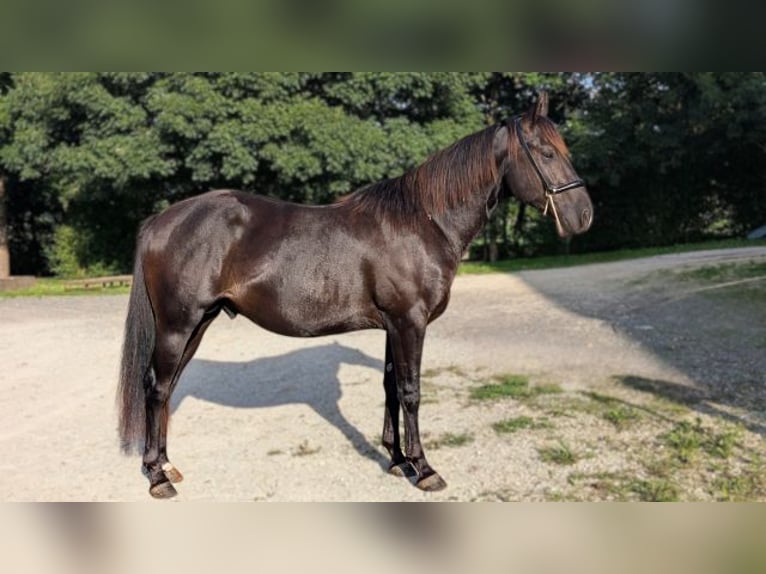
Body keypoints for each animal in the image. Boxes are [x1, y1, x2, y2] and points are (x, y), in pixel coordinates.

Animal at [117, 92, 593, 498]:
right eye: (546, 153)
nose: (584, 216)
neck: (422, 222)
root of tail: (161, 220)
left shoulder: (393, 325)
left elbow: (390, 387)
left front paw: (399, 460)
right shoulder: (409, 322)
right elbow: (411, 392)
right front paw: (426, 469)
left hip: (198, 323)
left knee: (167, 388)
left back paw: (167, 465)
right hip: (178, 325)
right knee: (157, 388)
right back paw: (158, 477)